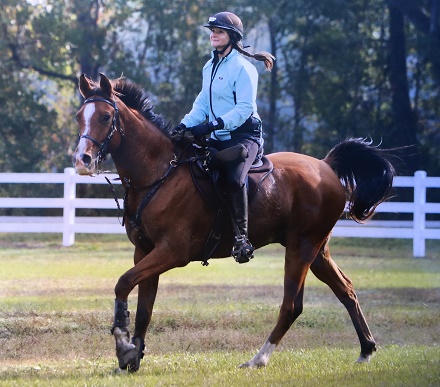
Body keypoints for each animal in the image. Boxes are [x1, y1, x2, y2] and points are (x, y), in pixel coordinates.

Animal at [71, 73, 396, 372]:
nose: (82, 161)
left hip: (301, 248)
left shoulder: (172, 252)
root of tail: (326, 166)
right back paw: (366, 349)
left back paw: (258, 359)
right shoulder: (145, 252)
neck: (159, 172)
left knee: (292, 305)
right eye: (79, 117)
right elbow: (143, 308)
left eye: (105, 116)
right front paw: (133, 356)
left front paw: (124, 346)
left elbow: (123, 283)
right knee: (346, 290)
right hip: (317, 251)